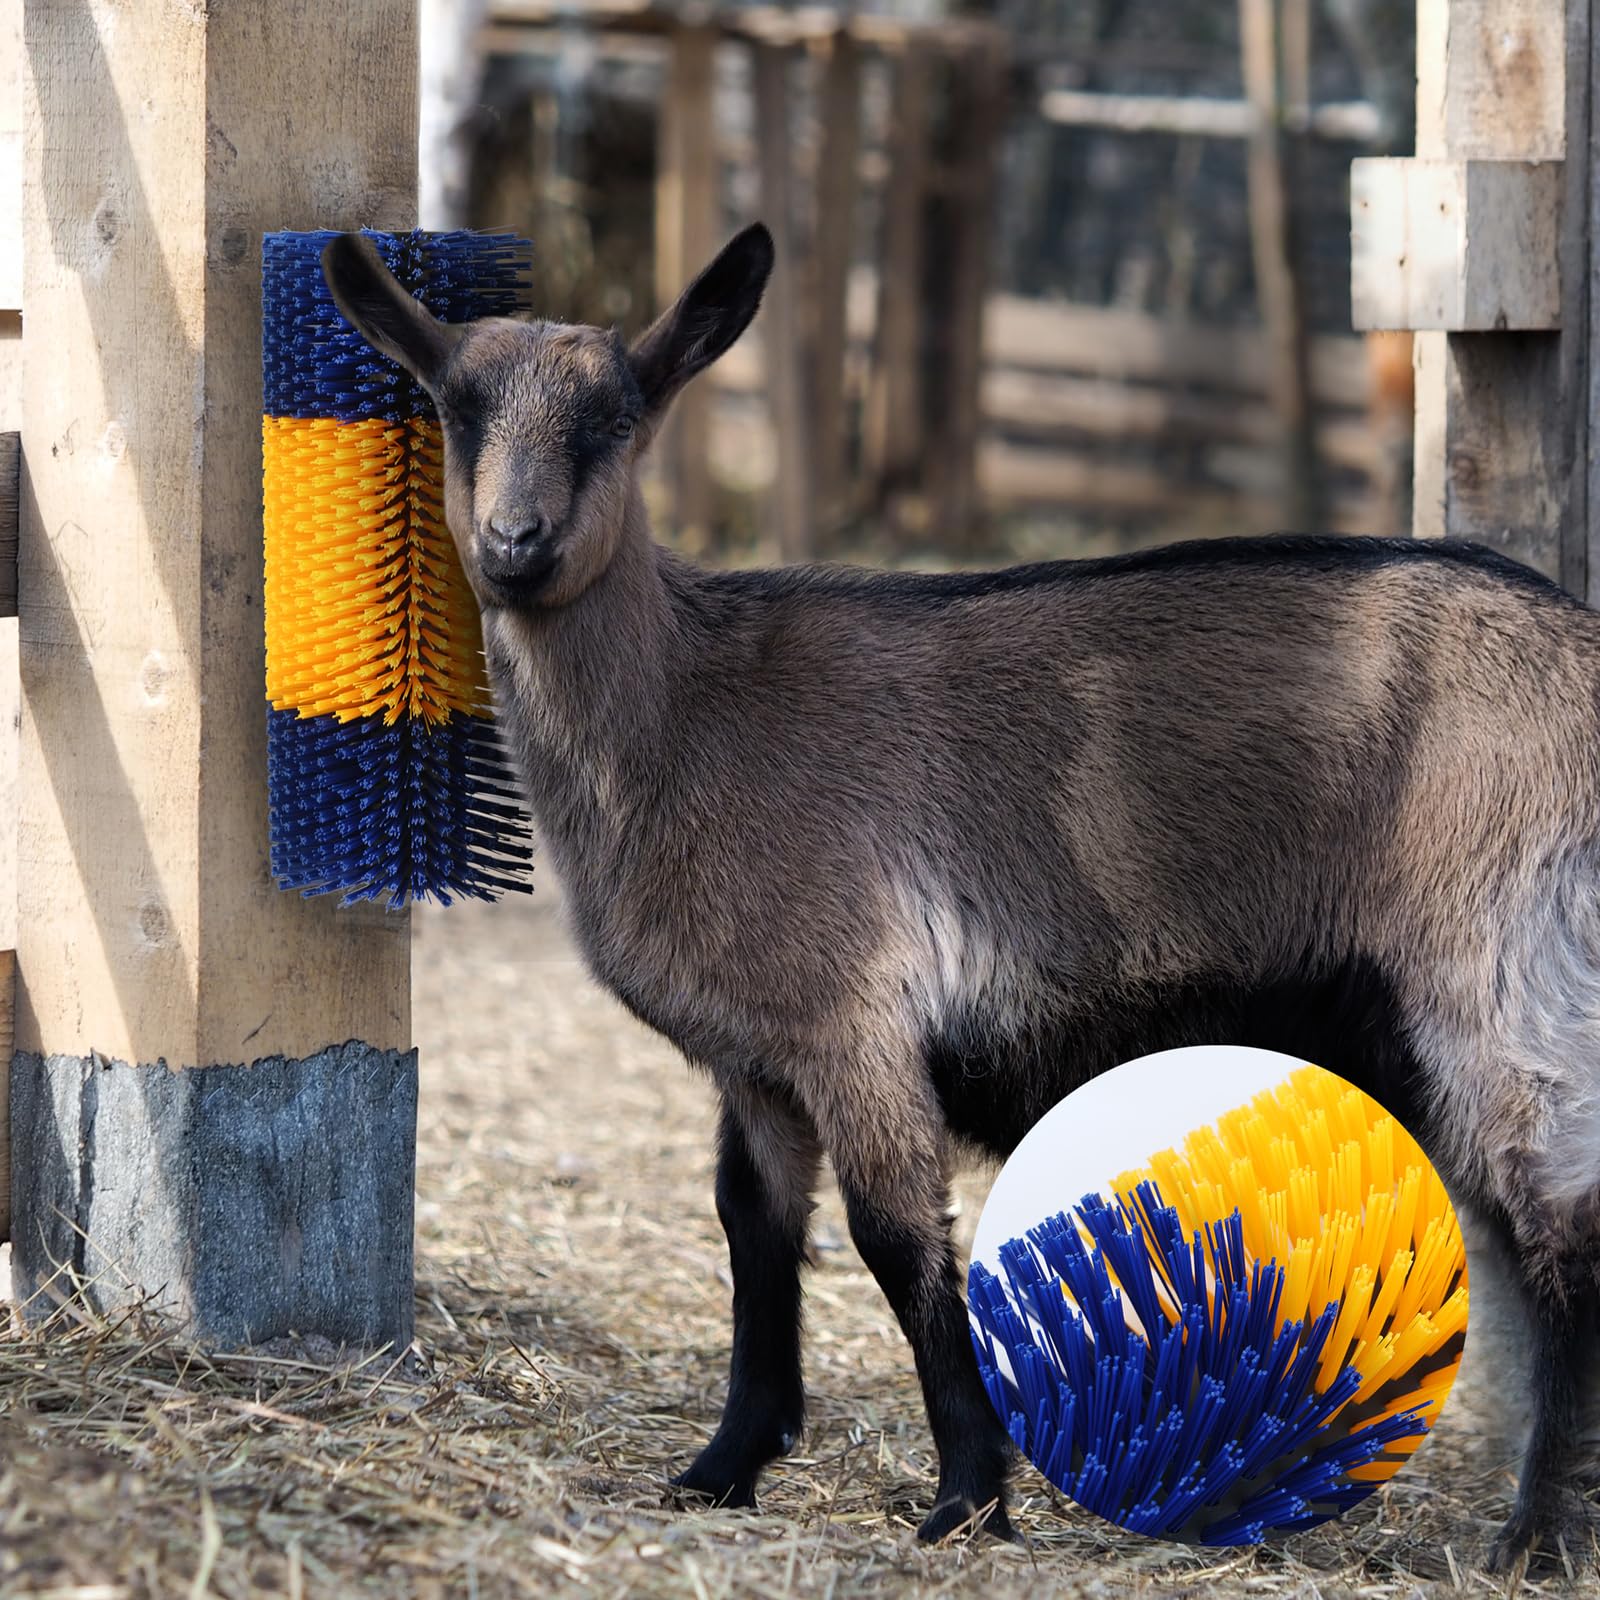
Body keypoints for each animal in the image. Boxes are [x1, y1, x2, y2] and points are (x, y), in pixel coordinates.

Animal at [322, 221, 1600, 1566]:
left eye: (614, 416)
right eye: (455, 406)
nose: (517, 542)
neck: (689, 710)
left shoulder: (854, 1021)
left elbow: (894, 1238)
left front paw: (968, 1496)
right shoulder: (756, 1060)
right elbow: (751, 1231)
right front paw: (722, 1468)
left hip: (1503, 973)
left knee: (1559, 1241)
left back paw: (1533, 1539)